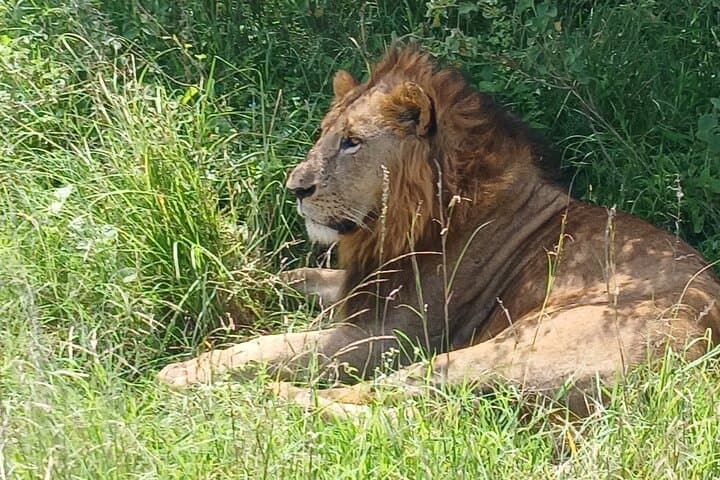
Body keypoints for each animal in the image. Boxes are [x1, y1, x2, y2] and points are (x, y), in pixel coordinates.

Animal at [158, 46, 720, 414]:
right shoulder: (359, 286)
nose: (295, 187)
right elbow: (288, 277)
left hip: (501, 352)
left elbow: (276, 348)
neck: (400, 224)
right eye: (324, 134)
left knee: (380, 404)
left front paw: (186, 371)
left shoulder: (389, 334)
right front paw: (215, 300)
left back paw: (257, 397)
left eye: (352, 142)